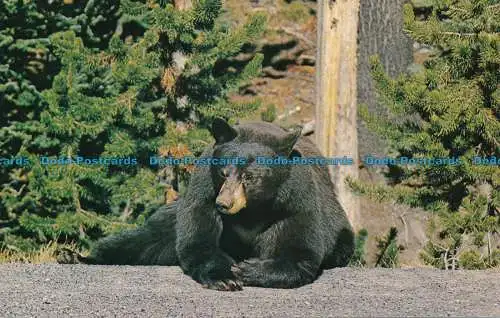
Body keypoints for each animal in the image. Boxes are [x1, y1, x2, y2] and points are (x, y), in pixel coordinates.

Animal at [58, 118, 354, 290]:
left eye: (249, 177)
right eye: (224, 172)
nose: (225, 203)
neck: (252, 211)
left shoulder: (295, 202)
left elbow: (299, 252)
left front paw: (248, 269)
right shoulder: (203, 191)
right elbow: (198, 240)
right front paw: (225, 276)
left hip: (341, 233)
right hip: (172, 215)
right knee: (145, 239)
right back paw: (75, 256)